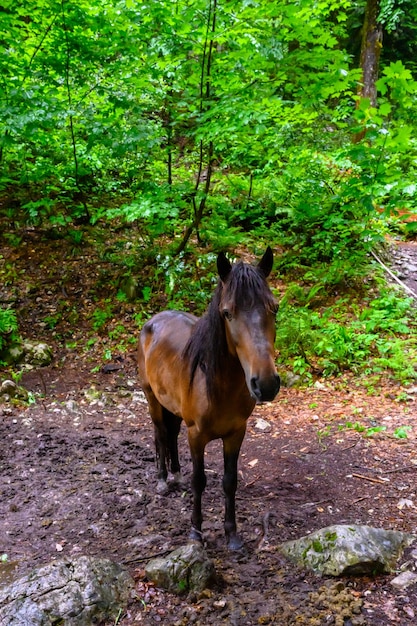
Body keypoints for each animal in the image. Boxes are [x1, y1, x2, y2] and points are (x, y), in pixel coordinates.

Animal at [139, 246, 280, 548]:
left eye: (274, 308)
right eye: (227, 313)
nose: (265, 384)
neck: (220, 386)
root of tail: (154, 320)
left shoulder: (236, 433)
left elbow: (229, 481)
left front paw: (232, 534)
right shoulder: (197, 435)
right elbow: (199, 481)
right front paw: (196, 532)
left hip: (173, 408)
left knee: (170, 435)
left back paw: (176, 475)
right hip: (152, 399)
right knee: (160, 434)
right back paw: (162, 480)